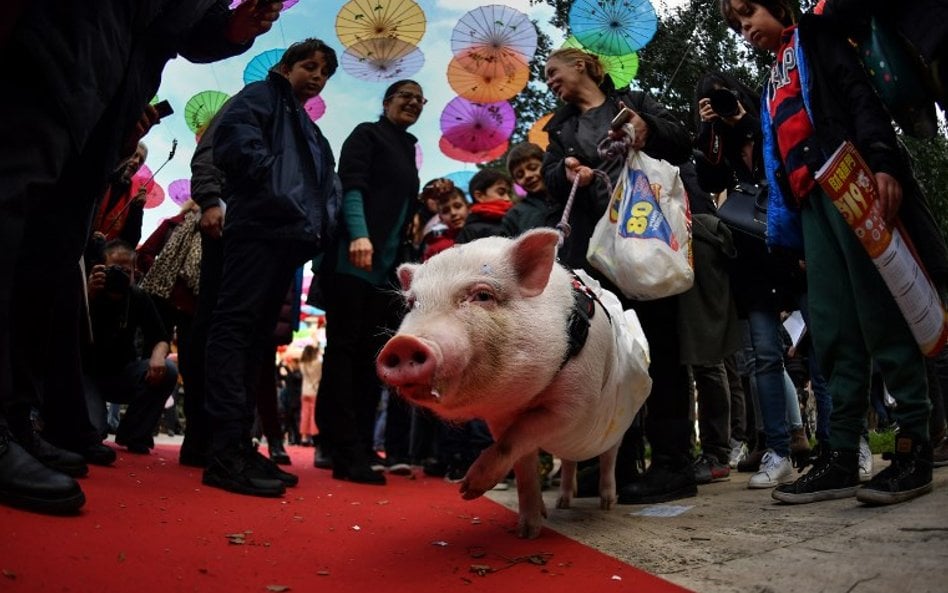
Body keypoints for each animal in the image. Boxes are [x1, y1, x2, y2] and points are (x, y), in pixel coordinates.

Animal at [378, 228, 652, 536]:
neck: (525, 398)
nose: (402, 344)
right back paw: (562, 503)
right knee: (570, 463)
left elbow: (517, 439)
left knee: (609, 457)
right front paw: (528, 529)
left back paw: (607, 504)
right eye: (412, 303)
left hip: (618, 426)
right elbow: (521, 462)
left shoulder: (575, 404)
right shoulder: (500, 418)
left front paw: (468, 490)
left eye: (483, 295)